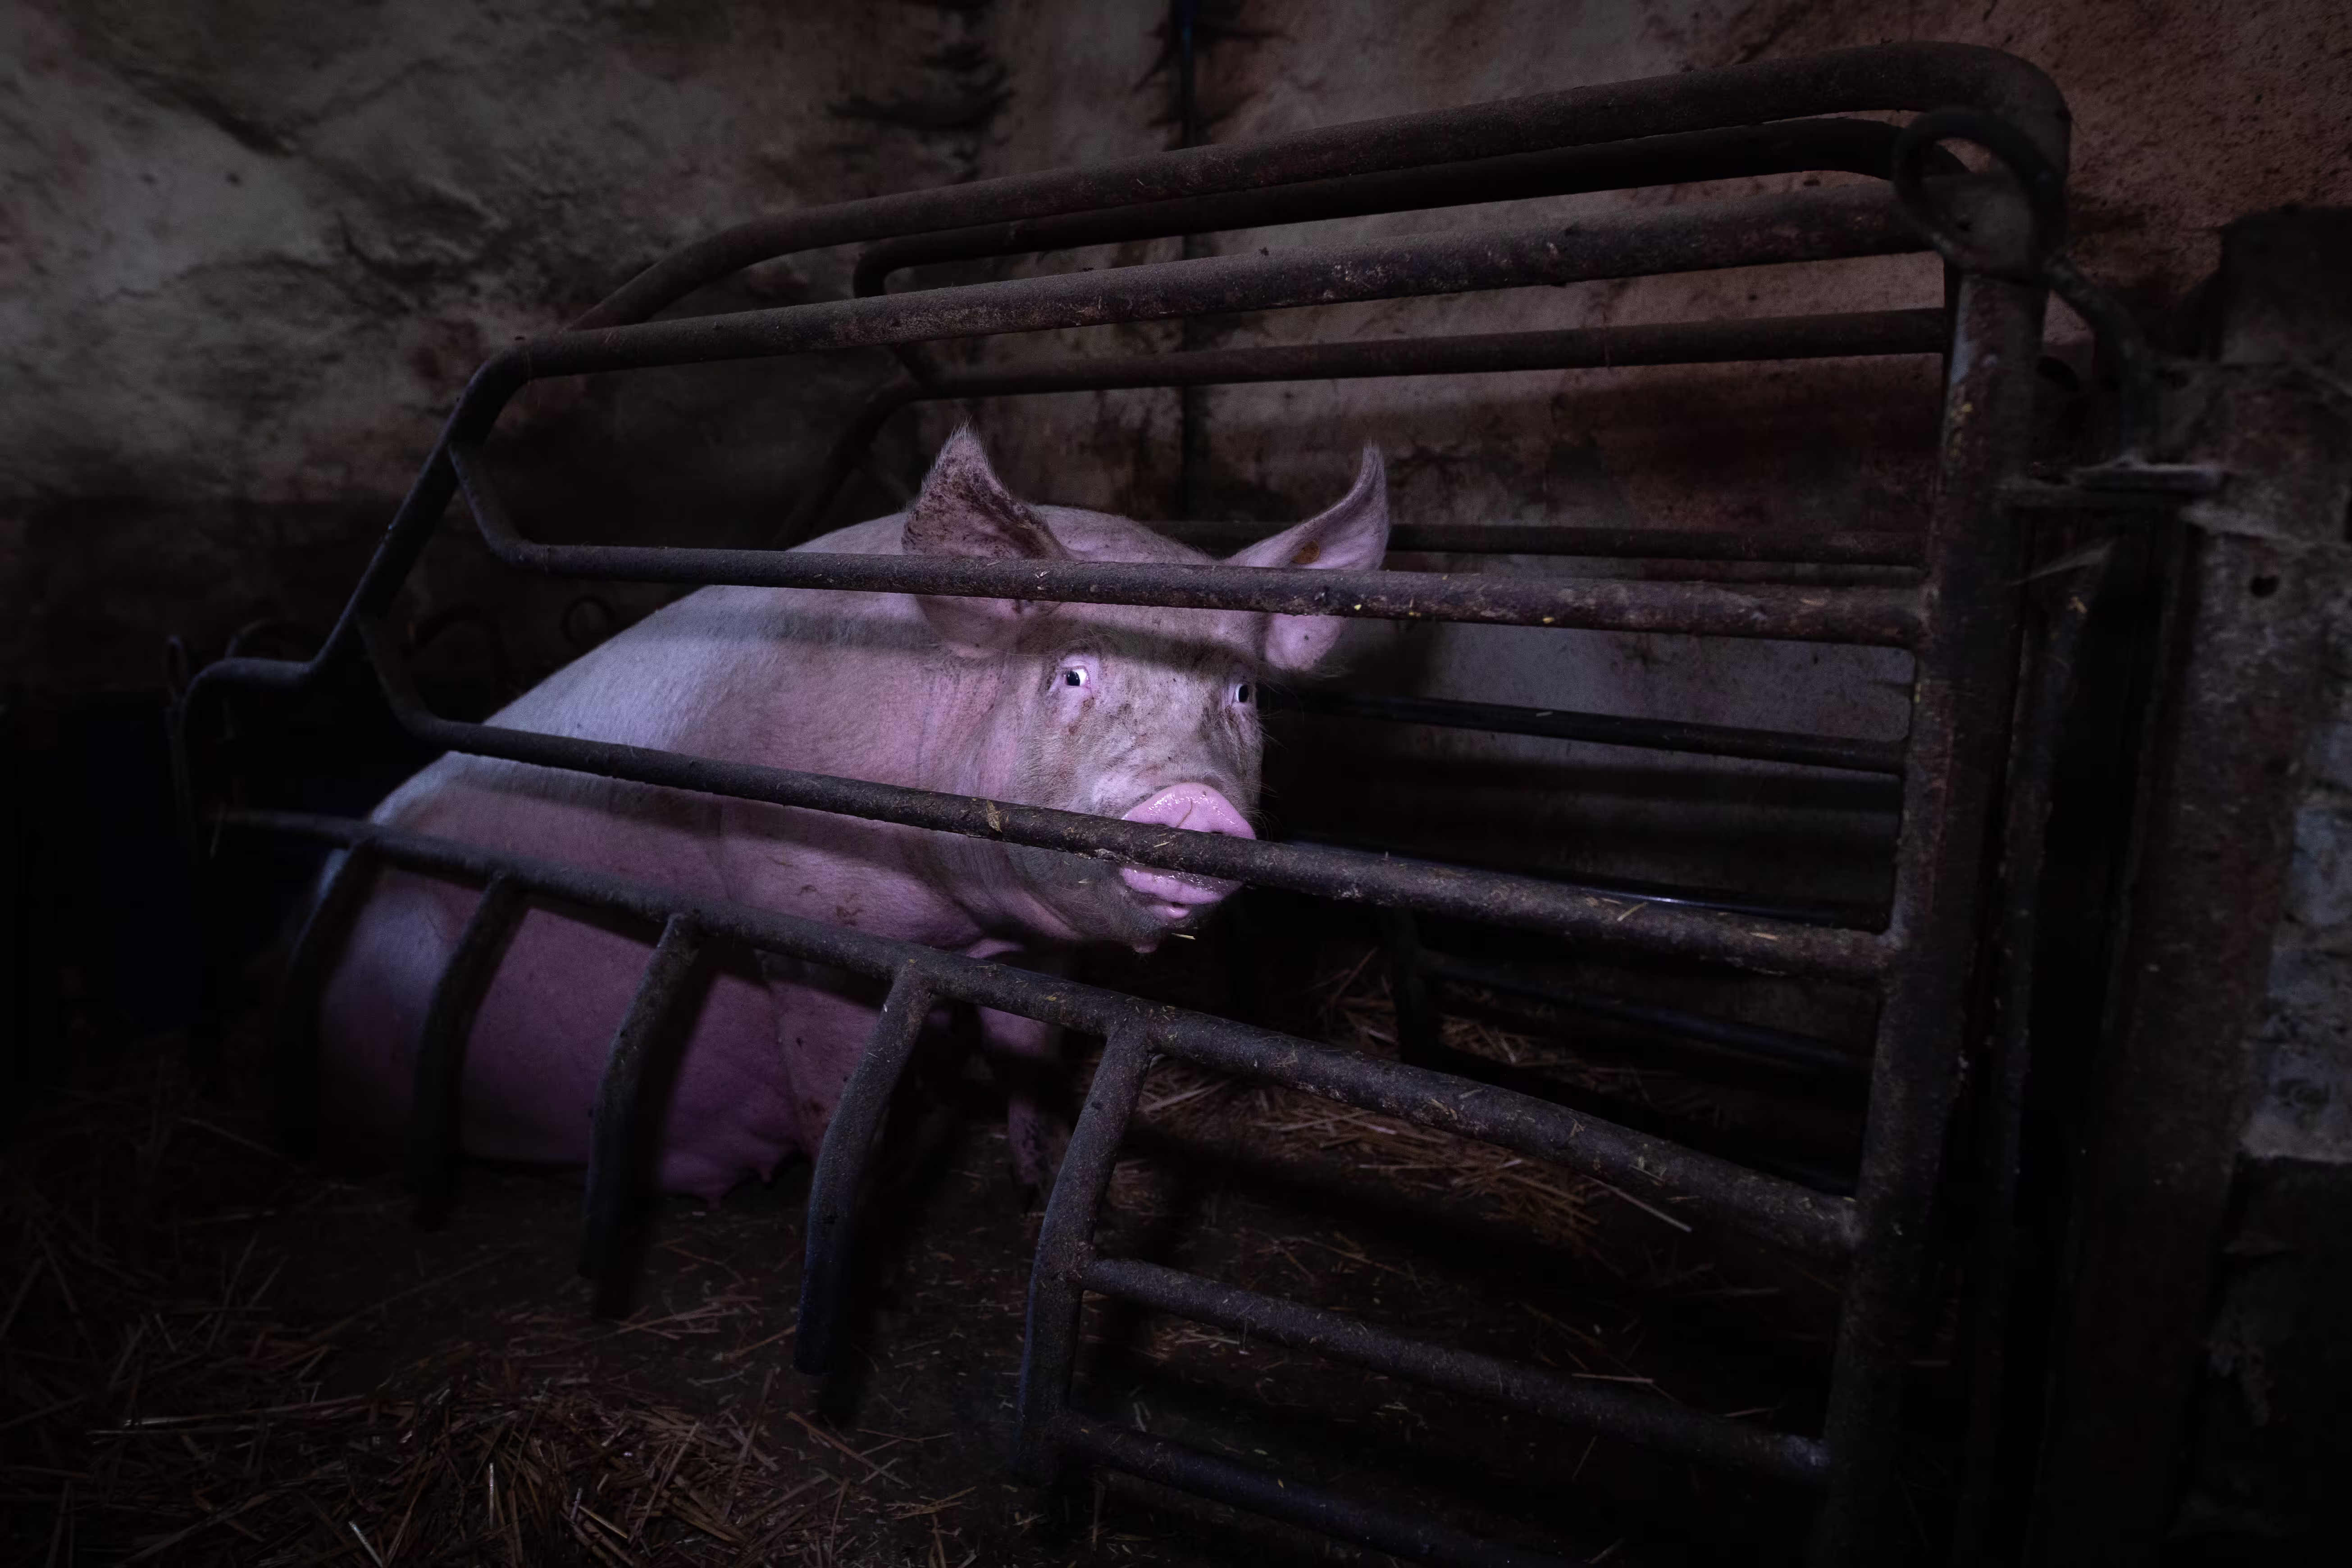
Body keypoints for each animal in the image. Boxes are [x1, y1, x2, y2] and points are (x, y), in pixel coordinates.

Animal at [316, 430, 1390, 1204]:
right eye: (1073, 674)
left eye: (1242, 692)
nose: (1193, 805)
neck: (960, 923)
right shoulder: (803, 923)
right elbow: (837, 1095)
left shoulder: (1037, 951)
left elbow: (1030, 1060)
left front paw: (1040, 1184)